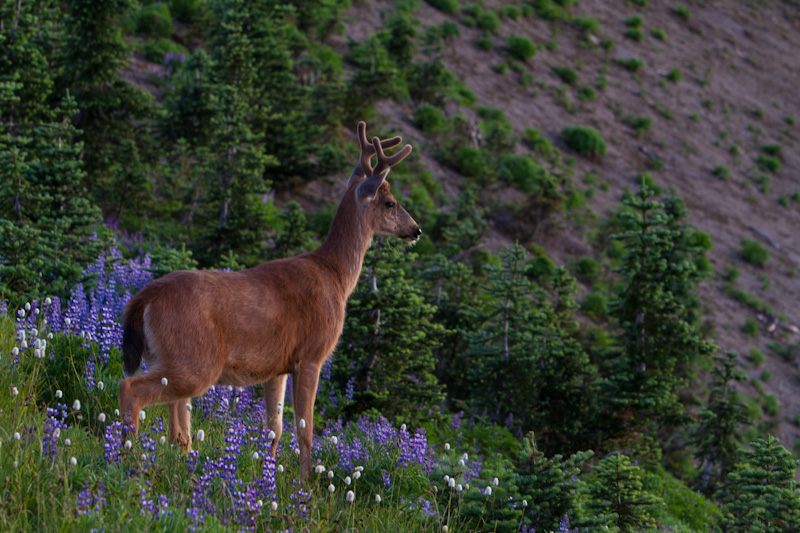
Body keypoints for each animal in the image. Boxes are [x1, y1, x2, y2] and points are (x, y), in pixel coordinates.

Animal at [120, 120, 418, 478]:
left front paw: (269, 474)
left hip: (166, 357)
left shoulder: (278, 366)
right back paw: (125, 458)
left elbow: (273, 428)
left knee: (178, 426)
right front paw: (306, 483)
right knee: (131, 390)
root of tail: (142, 300)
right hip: (195, 360)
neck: (335, 275)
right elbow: (305, 428)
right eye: (390, 203)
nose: (416, 230)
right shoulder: (311, 354)